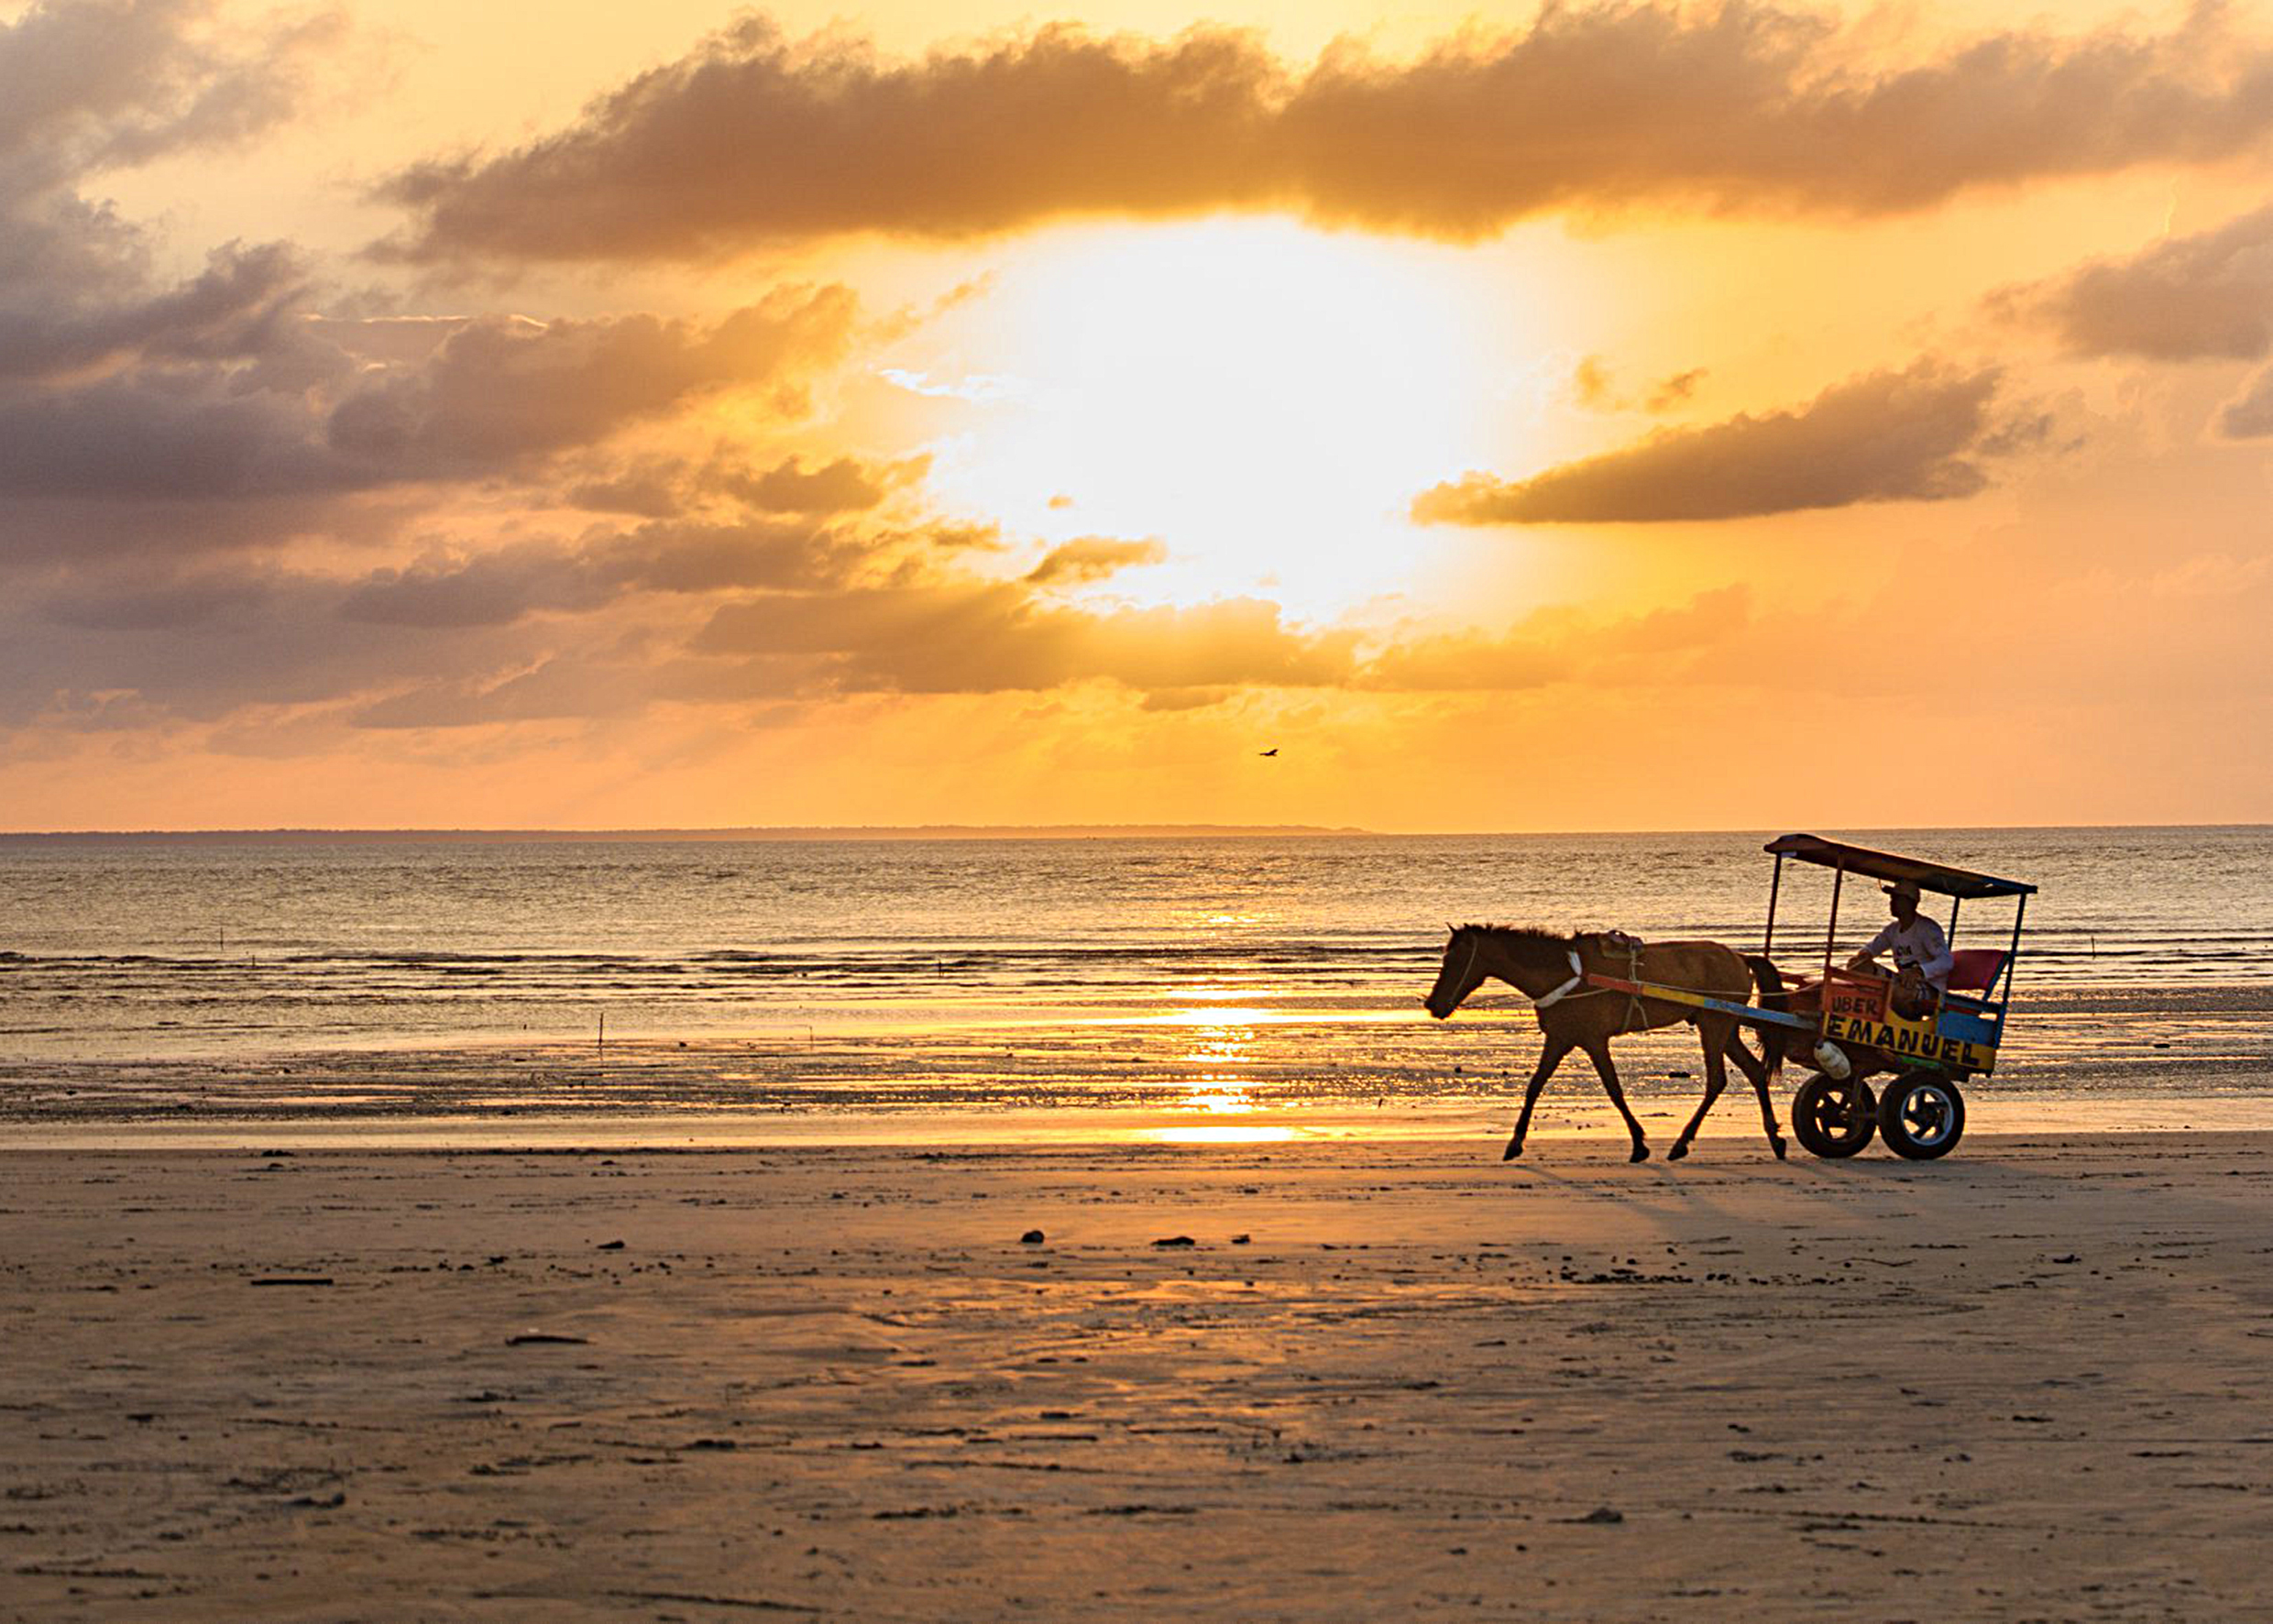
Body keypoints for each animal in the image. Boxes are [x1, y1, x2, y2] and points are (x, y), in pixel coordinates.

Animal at [1418, 922, 1791, 1162]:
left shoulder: (1593, 1040)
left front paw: (1639, 1144)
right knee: (1754, 1072)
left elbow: (1613, 1088)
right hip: (1722, 1027)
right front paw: (1515, 1143)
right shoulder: (1560, 1038)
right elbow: (1535, 1086)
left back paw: (1681, 1143)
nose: (1433, 1004)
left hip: (1714, 1026)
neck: (1565, 975)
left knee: (1716, 1080)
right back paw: (1774, 1138)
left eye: (1453, 960)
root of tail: (1740, 958)